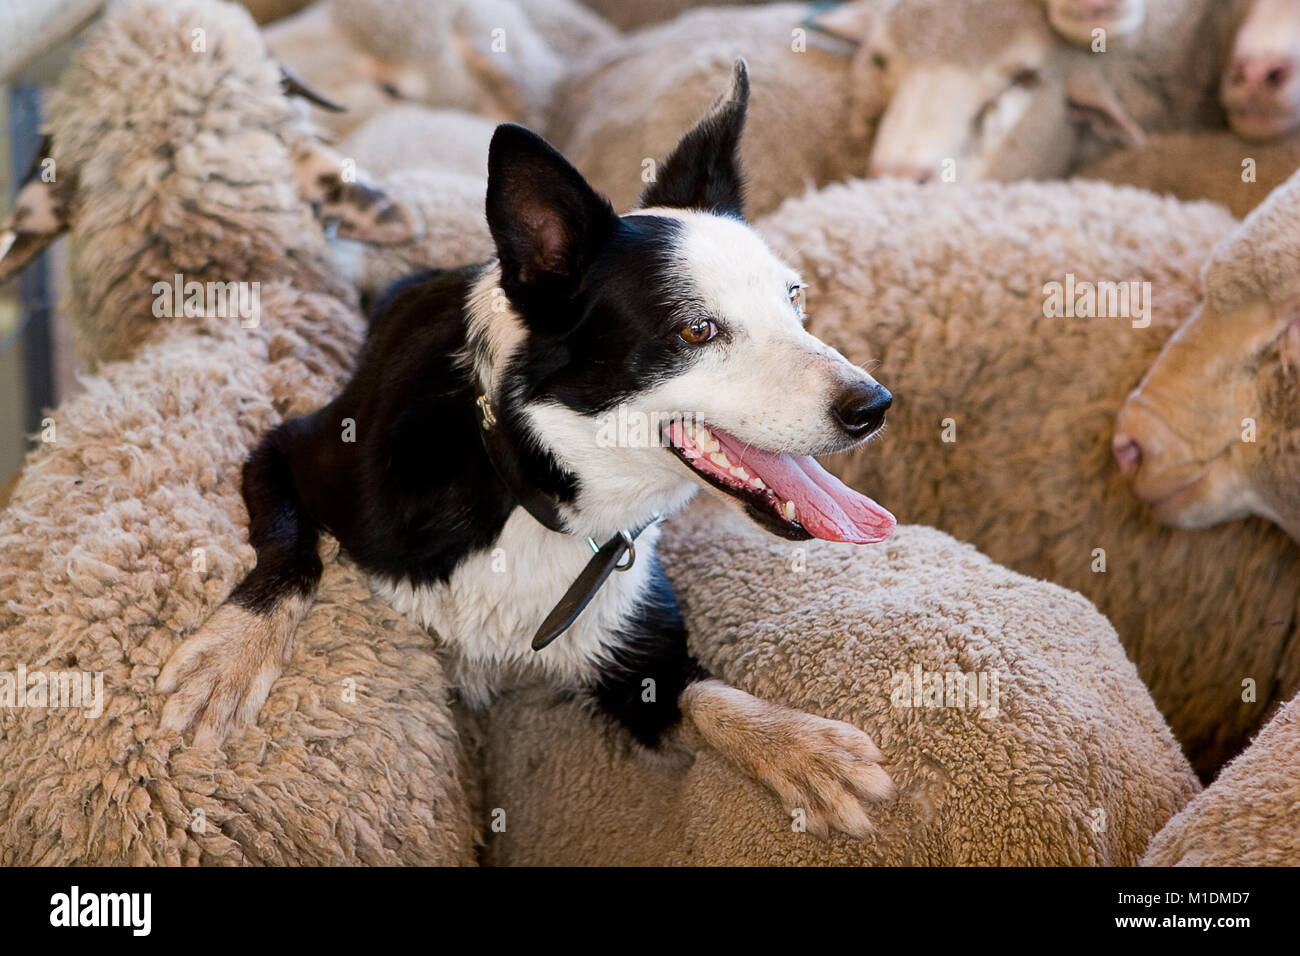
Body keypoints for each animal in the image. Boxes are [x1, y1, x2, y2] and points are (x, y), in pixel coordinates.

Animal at [157, 61, 899, 837]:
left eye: (795, 298)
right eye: (697, 330)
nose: (873, 406)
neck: (529, 478)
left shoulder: (628, 638)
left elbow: (706, 695)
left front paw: (798, 745)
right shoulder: (290, 448)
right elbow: (289, 552)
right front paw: (231, 655)